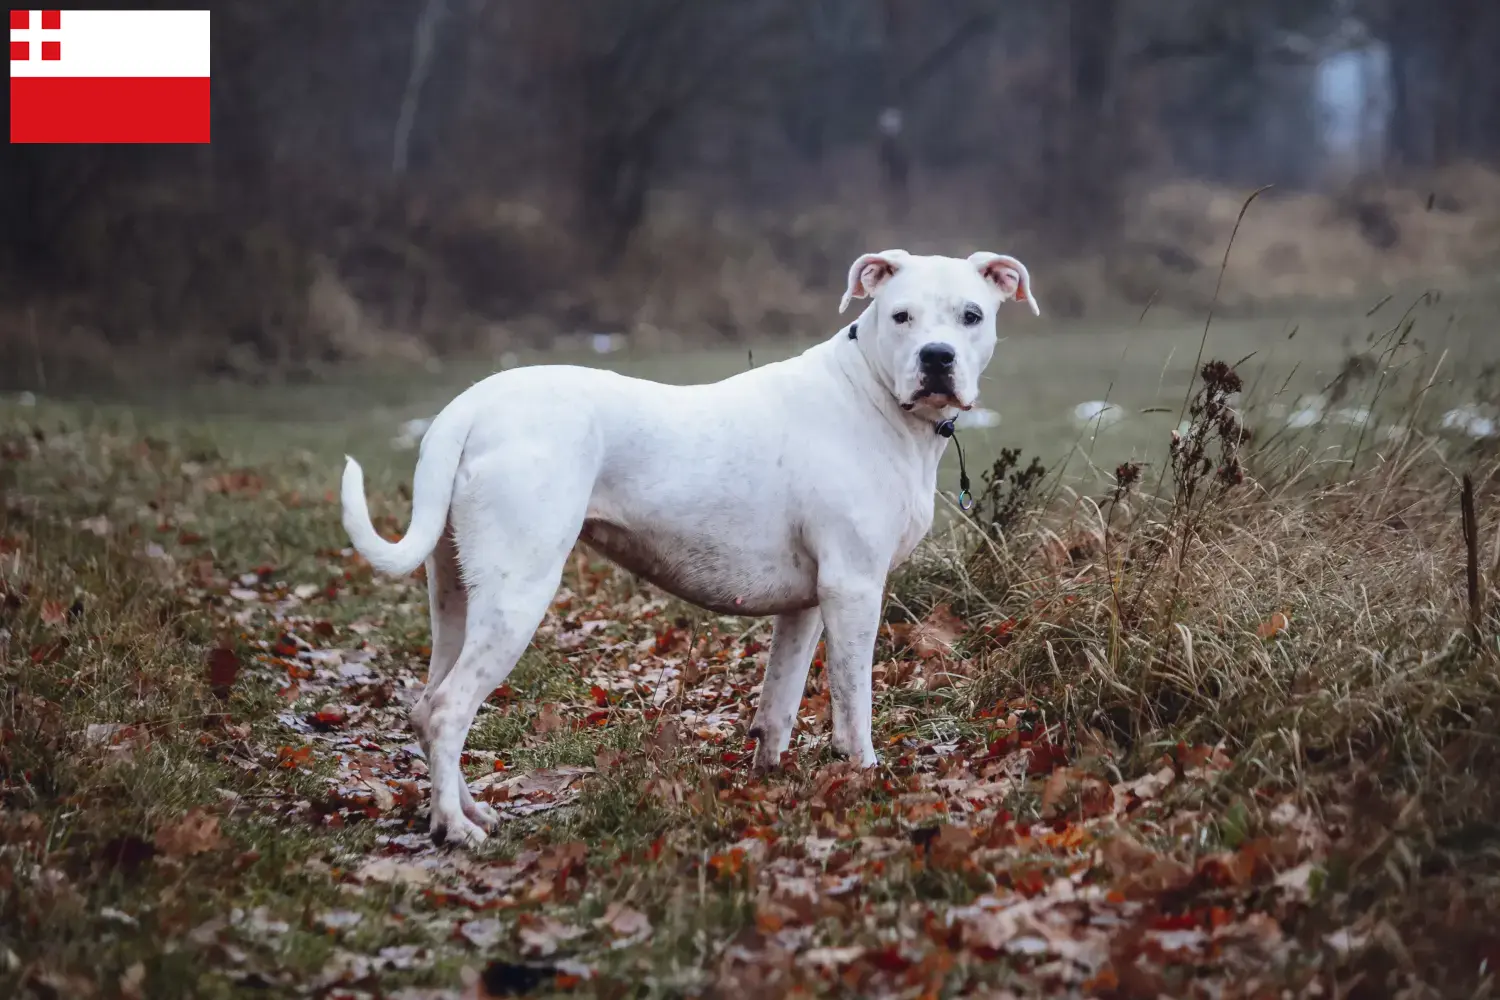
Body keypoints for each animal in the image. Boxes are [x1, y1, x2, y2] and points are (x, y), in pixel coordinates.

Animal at [343, 250, 1038, 845]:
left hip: (457, 596)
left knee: (428, 704)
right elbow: (852, 702)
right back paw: (454, 829)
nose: (937, 357)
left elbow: (780, 703)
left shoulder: (808, 604)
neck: (873, 394)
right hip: (518, 593)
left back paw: (466, 810)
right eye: (901, 317)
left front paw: (771, 779)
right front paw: (863, 774)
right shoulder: (855, 589)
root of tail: (470, 405)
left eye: (971, 316)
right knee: (447, 711)